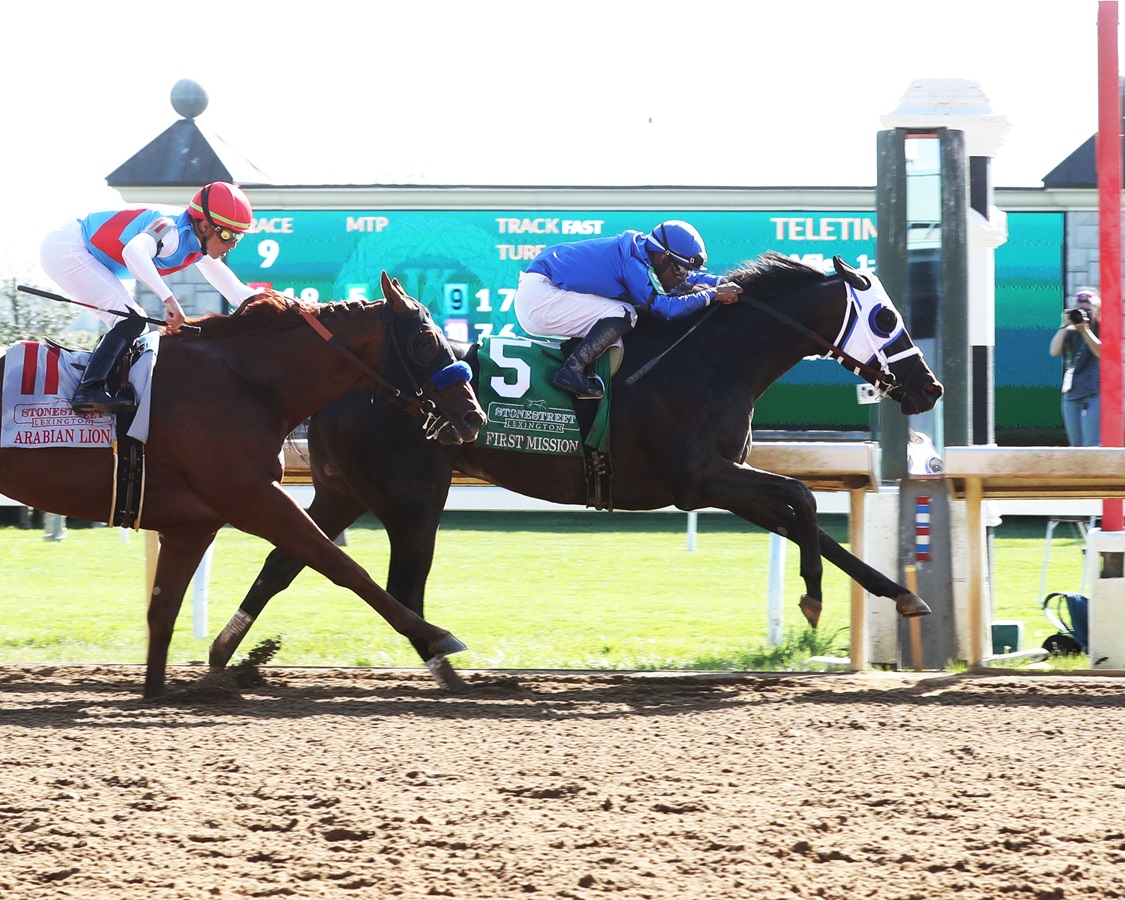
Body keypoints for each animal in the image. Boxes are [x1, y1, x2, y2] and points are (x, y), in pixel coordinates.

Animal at [3, 272, 488, 697]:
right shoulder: (254, 497)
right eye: (424, 340)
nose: (473, 416)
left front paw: (162, 693)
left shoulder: (192, 525)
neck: (248, 383)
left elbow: (162, 611)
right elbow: (341, 565)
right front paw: (438, 637)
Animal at [209, 255, 940, 688]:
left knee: (287, 561)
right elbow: (802, 500)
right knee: (398, 585)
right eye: (885, 318)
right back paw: (444, 666)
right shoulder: (699, 477)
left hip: (342, 490)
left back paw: (229, 653)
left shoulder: (723, 479)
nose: (928, 388)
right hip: (413, 498)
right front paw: (814, 599)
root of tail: (344, 389)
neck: (708, 359)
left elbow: (805, 521)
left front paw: (900, 595)